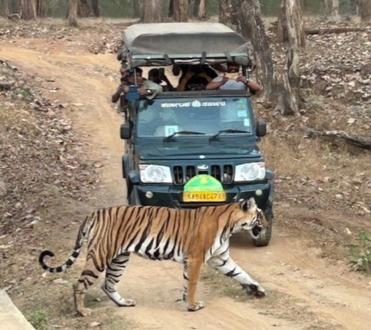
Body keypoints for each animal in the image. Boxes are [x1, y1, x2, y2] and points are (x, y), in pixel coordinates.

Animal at [39, 197, 268, 316]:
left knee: (108, 284)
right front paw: (192, 305)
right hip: (101, 255)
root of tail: (95, 212)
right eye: (260, 215)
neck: (230, 226)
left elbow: (241, 273)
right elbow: (192, 283)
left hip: (120, 258)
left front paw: (258, 289)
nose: (266, 226)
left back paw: (124, 303)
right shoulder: (195, 259)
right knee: (79, 284)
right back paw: (82, 312)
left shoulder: (220, 259)